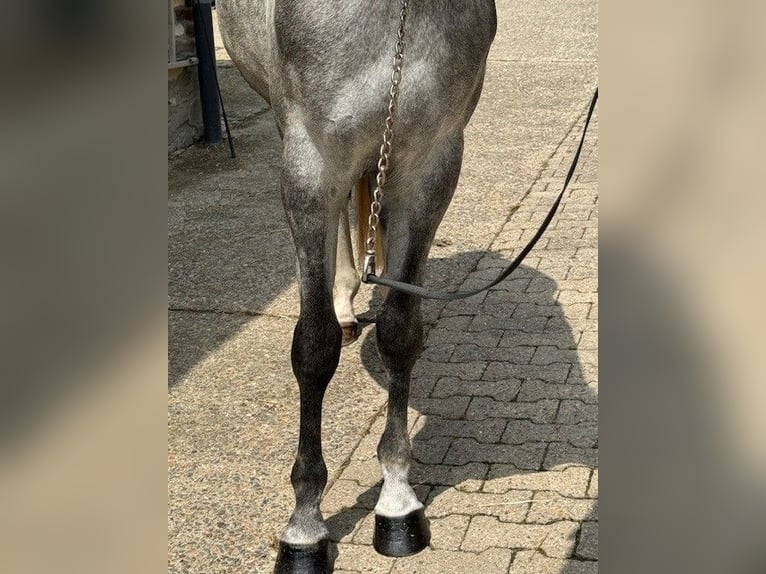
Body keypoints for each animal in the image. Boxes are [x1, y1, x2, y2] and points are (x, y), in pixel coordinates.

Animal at [218, 2, 498, 572]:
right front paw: (305, 525)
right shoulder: (311, 164)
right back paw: (345, 304)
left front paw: (397, 500)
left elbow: (400, 331)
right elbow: (314, 345)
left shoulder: (432, 163)